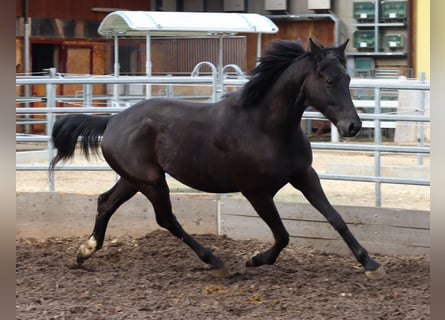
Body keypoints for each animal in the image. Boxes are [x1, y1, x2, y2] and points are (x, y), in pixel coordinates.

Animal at [47, 37, 382, 278]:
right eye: (329, 81)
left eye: (348, 78)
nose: (353, 126)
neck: (266, 127)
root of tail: (112, 120)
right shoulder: (256, 191)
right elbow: (282, 235)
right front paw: (254, 259)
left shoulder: (304, 176)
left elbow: (335, 217)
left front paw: (370, 263)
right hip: (152, 181)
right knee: (166, 219)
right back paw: (215, 261)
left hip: (134, 180)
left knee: (106, 202)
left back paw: (85, 251)